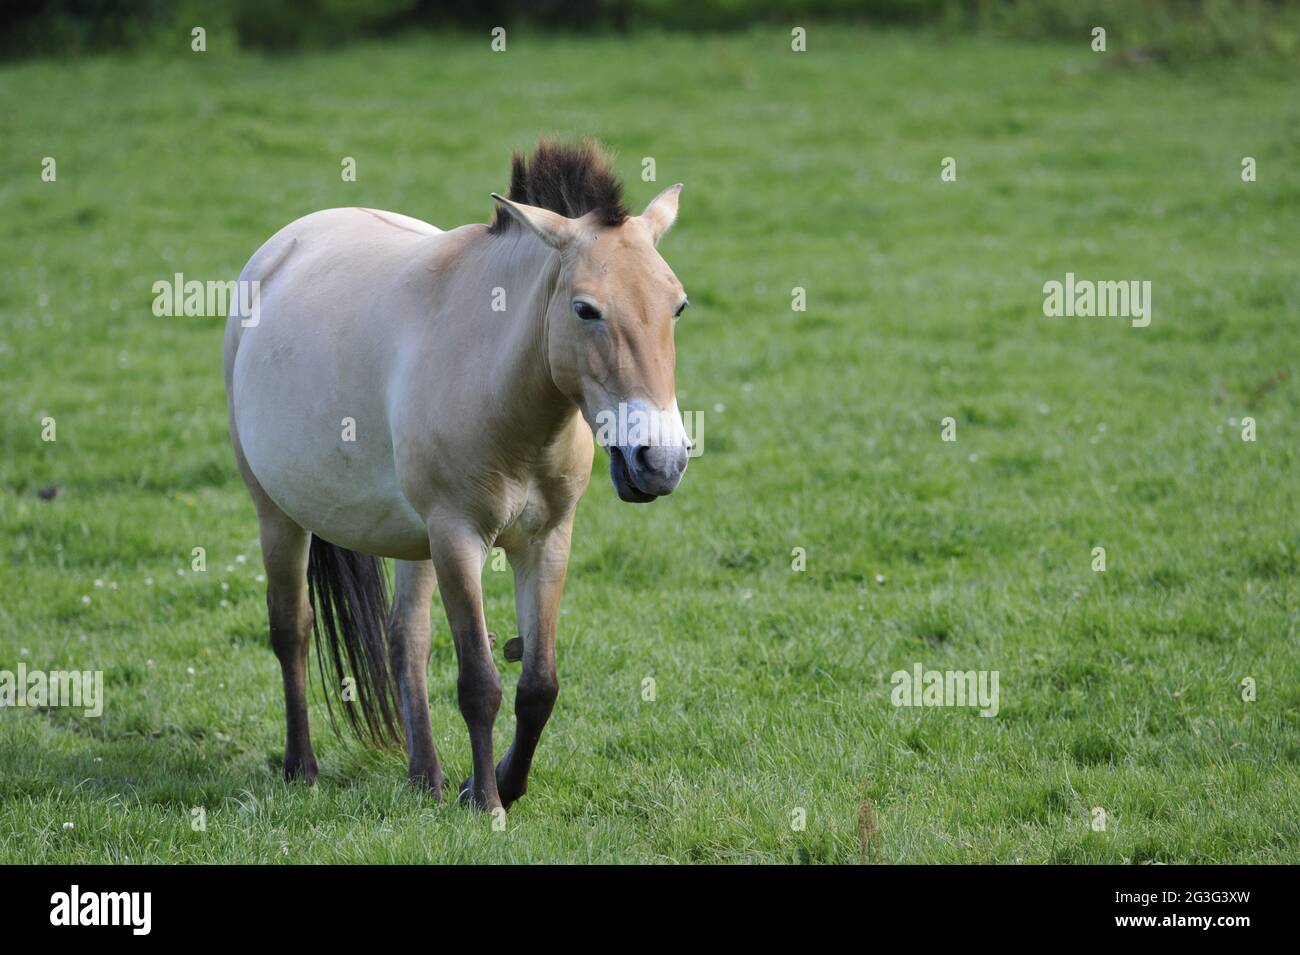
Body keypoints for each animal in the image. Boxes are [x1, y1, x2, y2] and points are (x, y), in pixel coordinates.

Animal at [223, 143, 691, 815]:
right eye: (585, 309)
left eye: (677, 305)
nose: (661, 462)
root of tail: (283, 247)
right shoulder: (458, 538)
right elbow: (479, 683)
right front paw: (488, 802)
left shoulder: (547, 542)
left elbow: (538, 685)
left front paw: (498, 783)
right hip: (278, 515)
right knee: (292, 630)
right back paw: (301, 767)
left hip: (413, 544)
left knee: (406, 640)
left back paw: (427, 776)